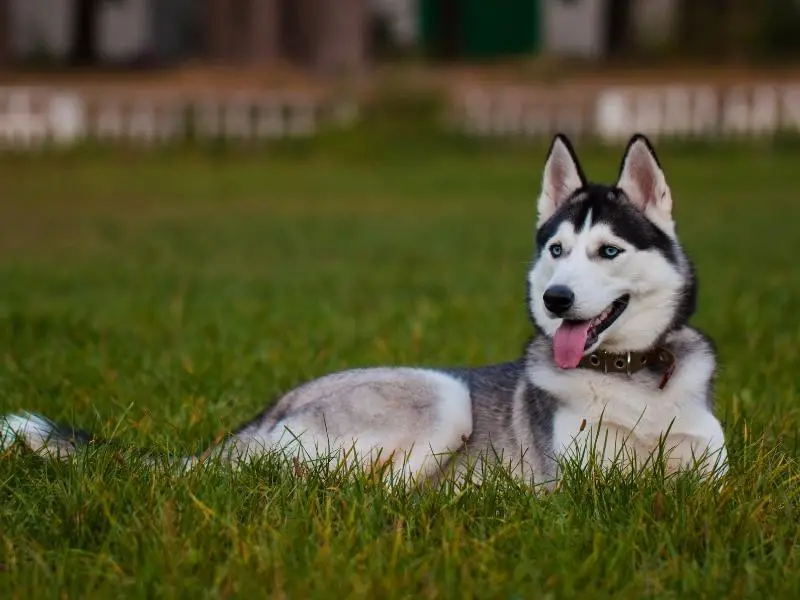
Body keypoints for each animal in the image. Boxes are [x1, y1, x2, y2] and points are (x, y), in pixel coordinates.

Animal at [0, 135, 728, 488]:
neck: (635, 379)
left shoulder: (713, 481)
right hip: (443, 400)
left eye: (607, 250)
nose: (556, 299)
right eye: (557, 249)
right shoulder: (574, 488)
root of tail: (267, 411)